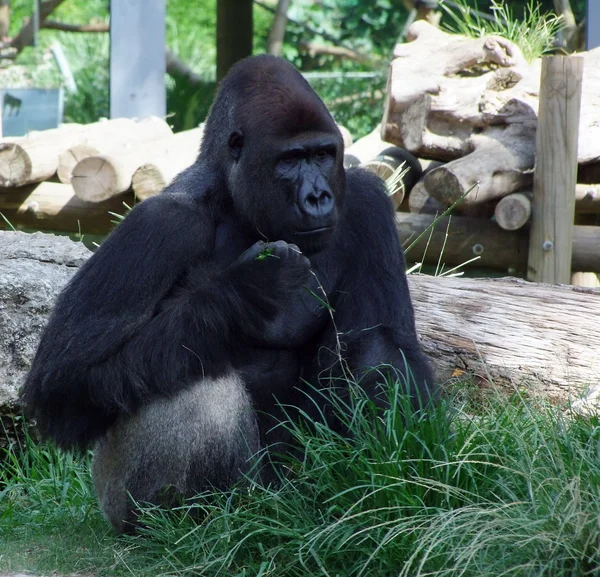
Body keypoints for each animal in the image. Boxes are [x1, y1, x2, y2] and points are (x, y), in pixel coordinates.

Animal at [21, 54, 434, 532]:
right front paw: (247, 291)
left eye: (323, 154)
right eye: (291, 159)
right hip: (120, 498)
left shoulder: (367, 201)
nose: (318, 197)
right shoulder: (161, 223)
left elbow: (382, 339)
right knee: (191, 372)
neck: (235, 203)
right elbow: (64, 380)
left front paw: (400, 468)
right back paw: (203, 520)